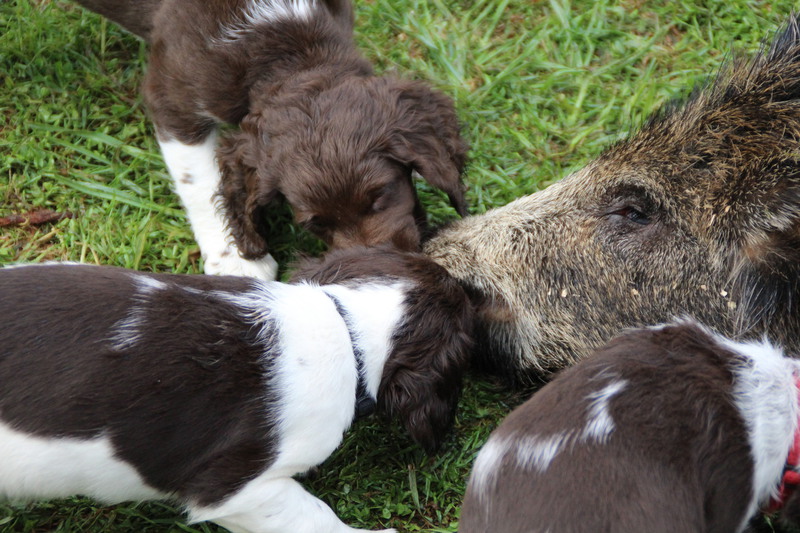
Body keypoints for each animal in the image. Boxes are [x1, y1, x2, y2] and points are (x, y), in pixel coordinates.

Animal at [71, 0, 469, 280]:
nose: (383, 269)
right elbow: (198, 181)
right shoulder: (172, 100)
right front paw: (236, 260)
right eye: (314, 224)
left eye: (381, 197)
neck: (281, 45)